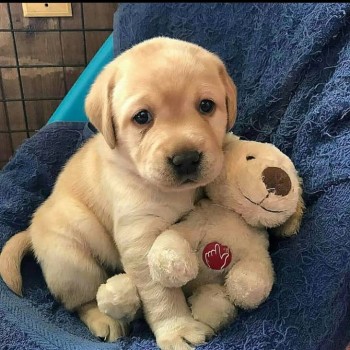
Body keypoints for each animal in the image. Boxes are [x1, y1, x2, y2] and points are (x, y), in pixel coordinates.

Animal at [0, 36, 238, 350]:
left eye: (206, 105)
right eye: (142, 117)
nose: (186, 159)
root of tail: (31, 231)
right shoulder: (140, 236)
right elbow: (162, 293)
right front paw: (178, 329)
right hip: (73, 260)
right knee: (81, 302)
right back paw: (104, 320)